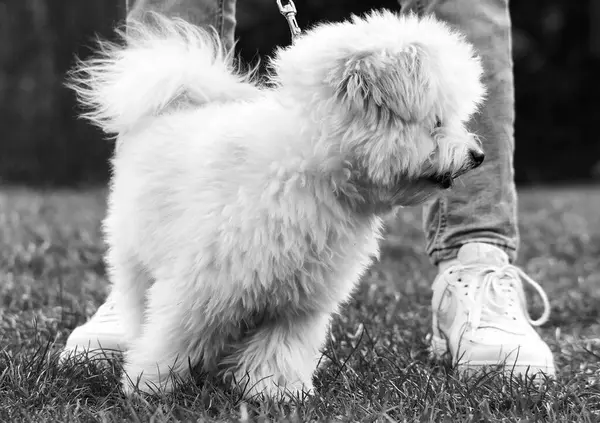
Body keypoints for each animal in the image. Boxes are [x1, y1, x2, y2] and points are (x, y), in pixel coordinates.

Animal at [69, 10, 488, 400]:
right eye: (437, 121)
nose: (478, 155)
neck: (311, 168)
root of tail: (176, 105)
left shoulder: (297, 302)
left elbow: (279, 348)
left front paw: (276, 391)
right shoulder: (201, 287)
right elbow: (176, 336)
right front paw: (150, 385)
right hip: (135, 255)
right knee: (139, 304)